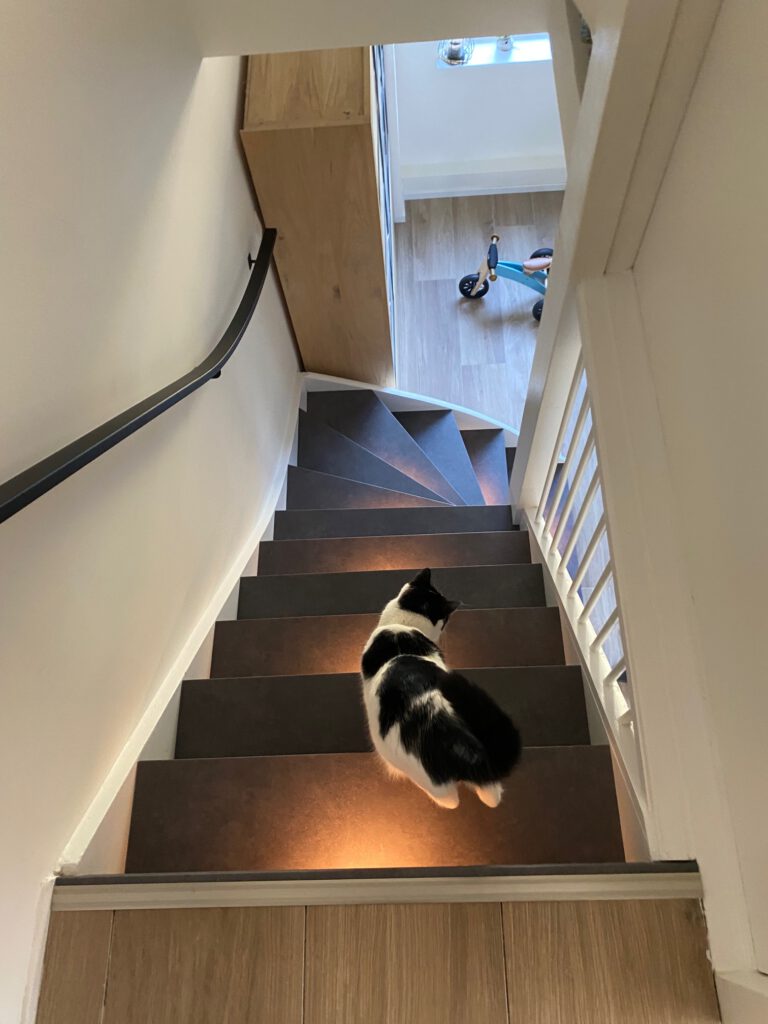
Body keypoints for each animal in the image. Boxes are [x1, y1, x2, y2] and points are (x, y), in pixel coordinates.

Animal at [360, 568, 521, 809]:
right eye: (445, 619)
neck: (405, 626)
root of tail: (457, 741)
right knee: (490, 796)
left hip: (430, 780)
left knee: (453, 801)